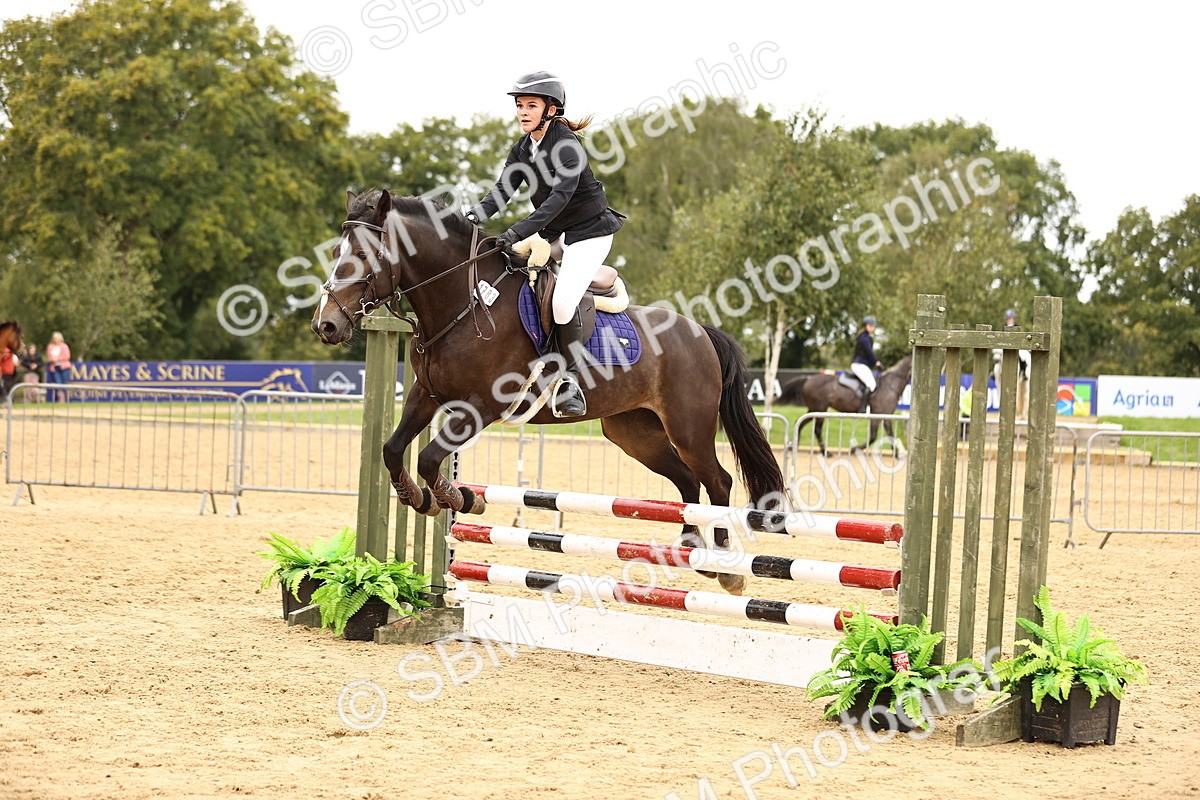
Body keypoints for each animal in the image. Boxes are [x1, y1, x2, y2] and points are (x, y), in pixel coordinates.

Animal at [311, 189, 785, 594]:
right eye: (336, 254)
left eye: (364, 256)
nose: (326, 325)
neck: (464, 304)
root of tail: (701, 332)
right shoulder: (425, 396)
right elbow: (392, 450)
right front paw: (420, 498)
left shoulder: (482, 405)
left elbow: (428, 458)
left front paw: (459, 498)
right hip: (635, 434)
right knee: (688, 480)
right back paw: (690, 546)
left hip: (688, 428)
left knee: (718, 480)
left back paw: (724, 566)